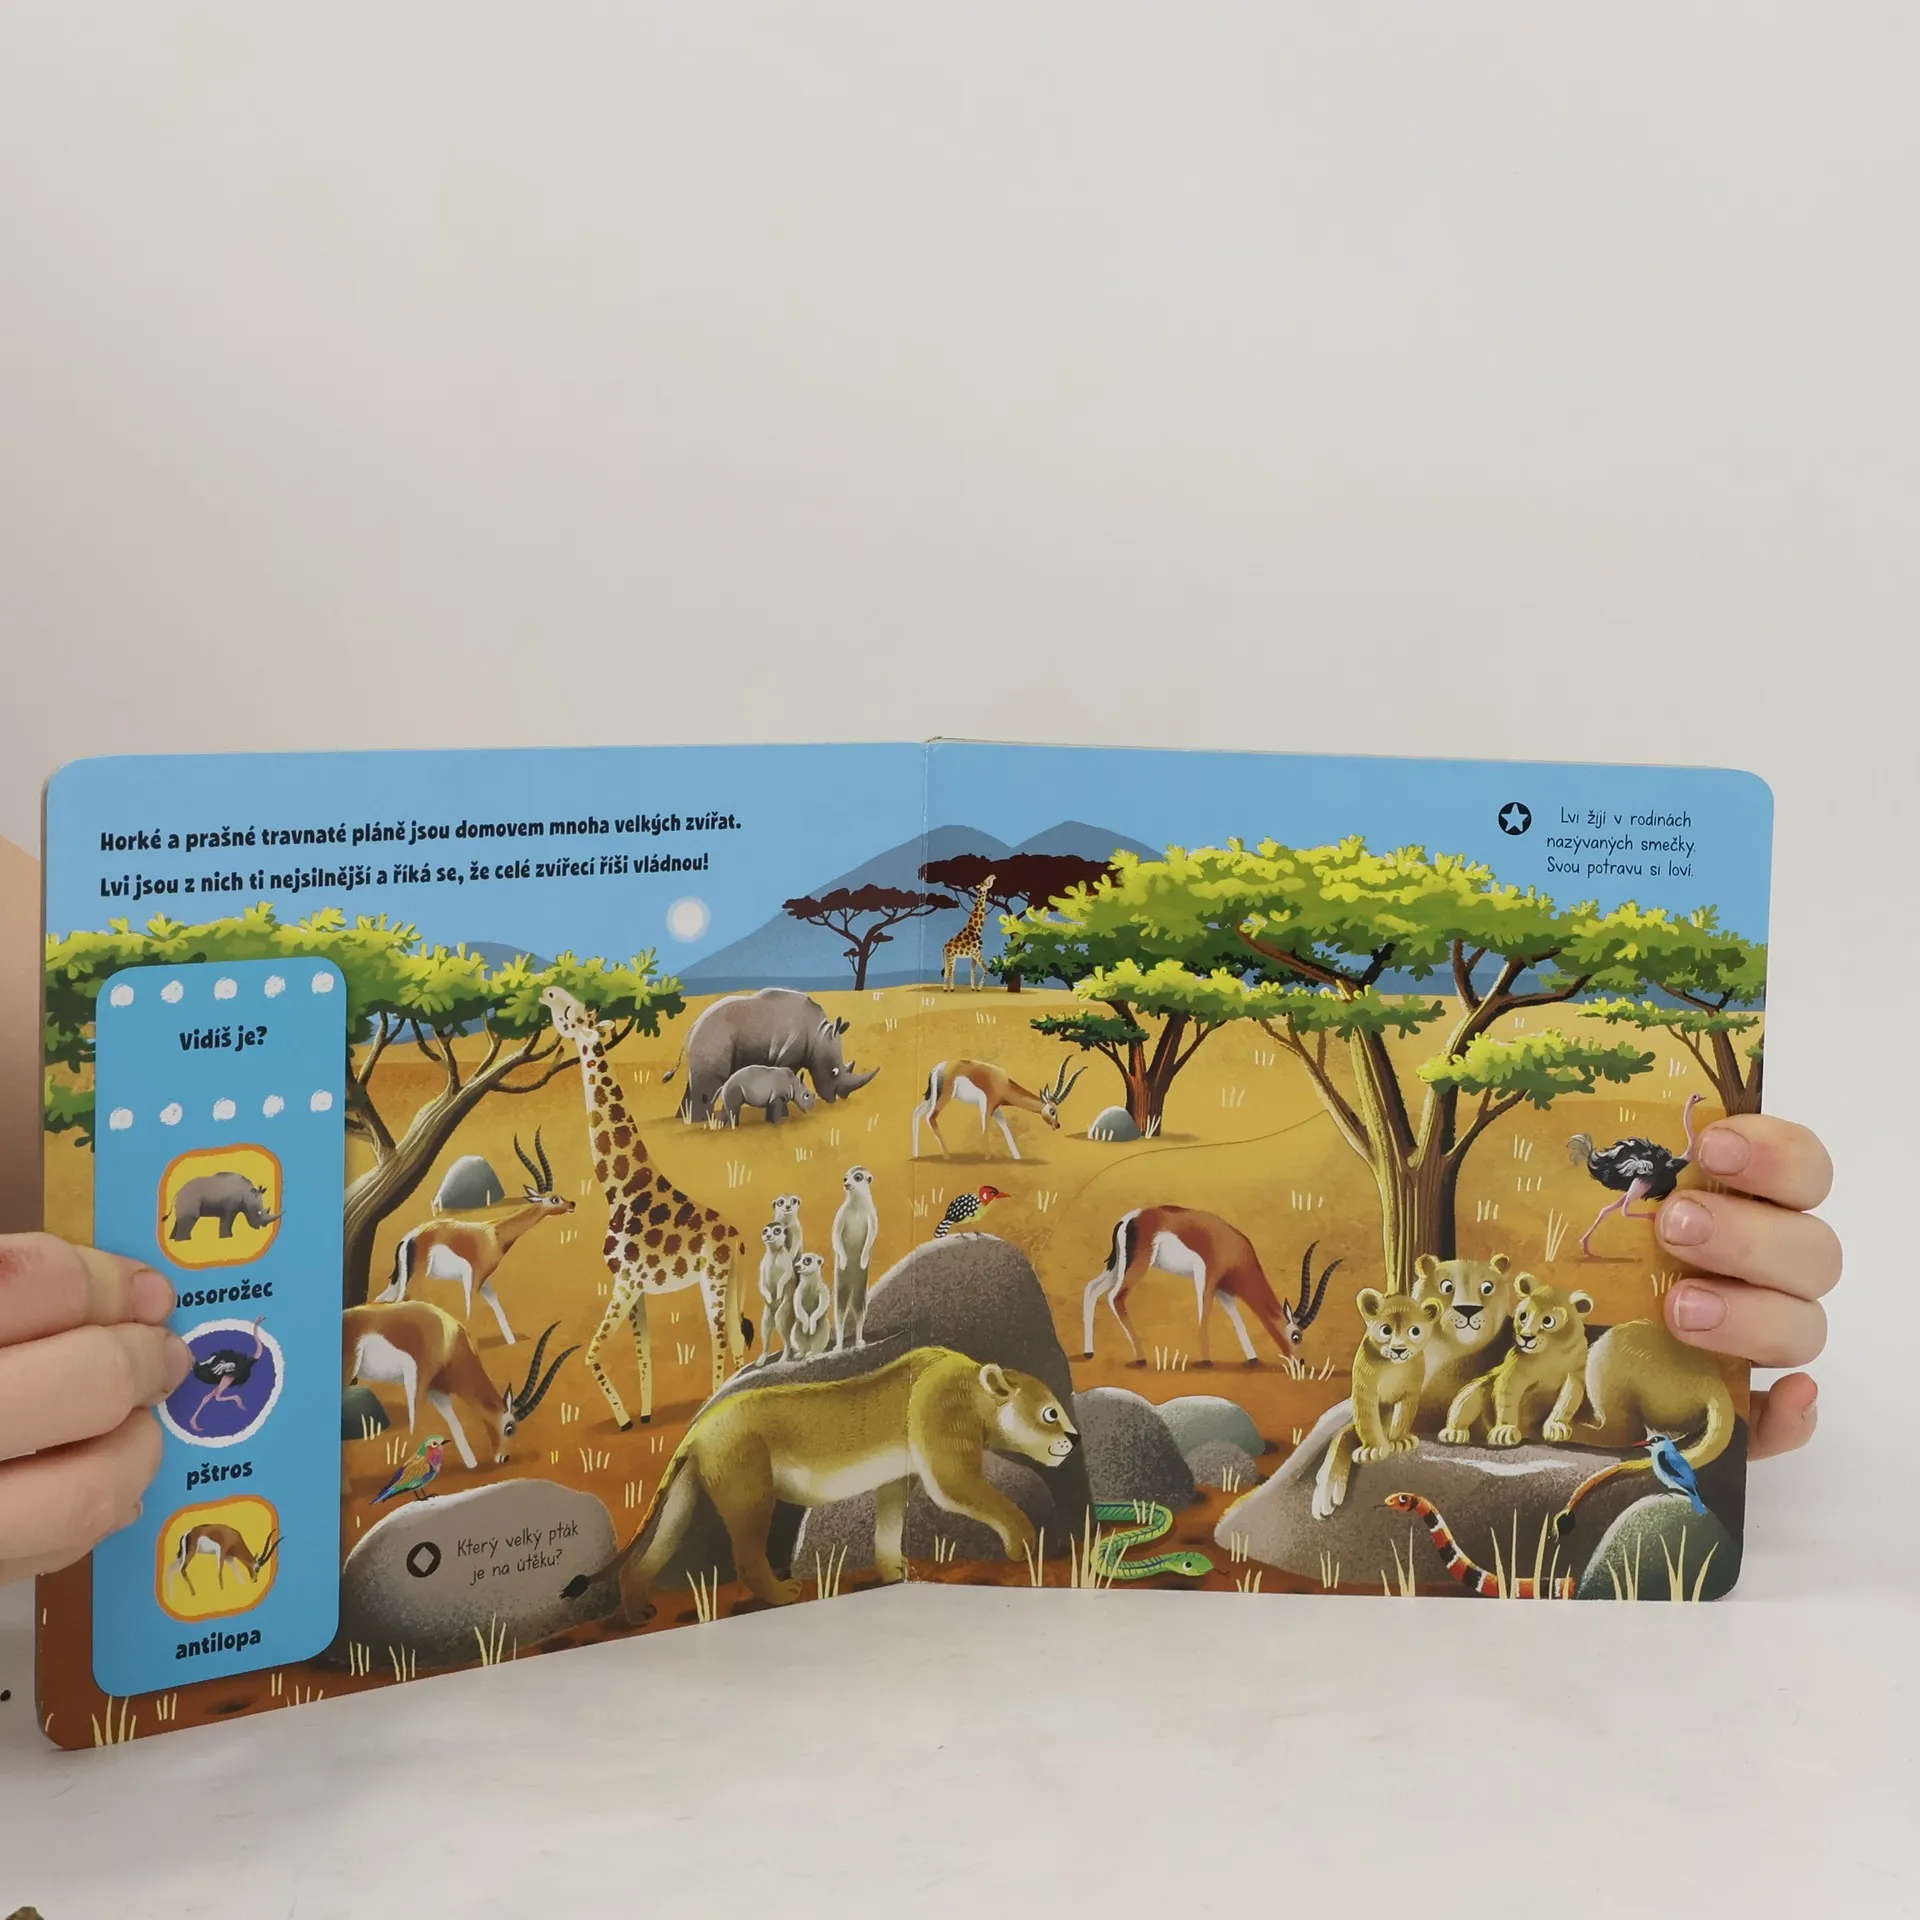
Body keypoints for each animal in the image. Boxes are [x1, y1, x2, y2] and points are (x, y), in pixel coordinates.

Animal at [540, 985, 748, 1427]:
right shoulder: (636, 1287)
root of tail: (739, 1239)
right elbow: (643, 1352)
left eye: (573, 1013)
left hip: (714, 1278)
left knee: (719, 1336)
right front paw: (646, 1414)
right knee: (737, 1339)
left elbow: (590, 1355)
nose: (547, 991)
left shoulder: (625, 1281)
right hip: (731, 1280)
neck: (619, 1189)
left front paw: (623, 1419)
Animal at [667, 988, 878, 1123]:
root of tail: (692, 1027)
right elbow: (787, 1078)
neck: (818, 1034)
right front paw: (784, 1116)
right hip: (714, 1037)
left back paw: (684, 1119)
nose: (840, 1098)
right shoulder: (789, 1056)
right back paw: (702, 1122)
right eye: (834, 1072)